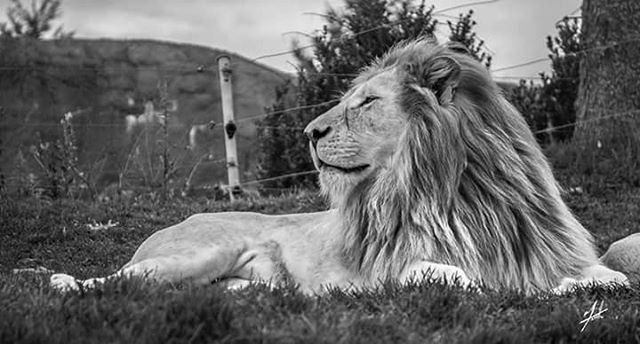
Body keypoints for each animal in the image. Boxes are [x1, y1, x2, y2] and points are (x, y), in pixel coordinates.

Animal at [48, 38, 624, 296]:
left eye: (366, 103)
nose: (309, 133)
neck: (458, 189)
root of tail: (181, 218)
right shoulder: (389, 270)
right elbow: (450, 273)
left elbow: (611, 278)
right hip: (196, 253)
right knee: (109, 281)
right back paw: (61, 281)